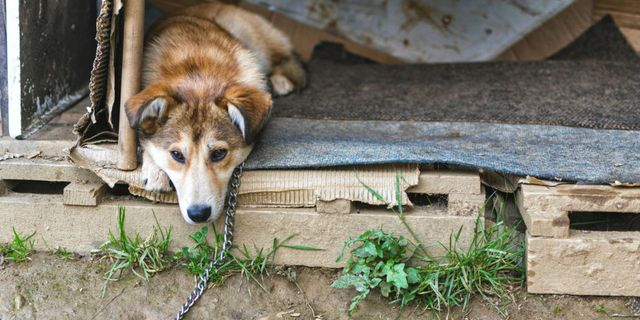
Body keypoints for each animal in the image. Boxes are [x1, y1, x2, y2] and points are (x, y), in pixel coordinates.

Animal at [126, 1, 306, 224]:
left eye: (219, 153)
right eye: (177, 155)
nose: (198, 214)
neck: (197, 75)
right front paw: (156, 170)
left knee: (286, 58)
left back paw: (281, 81)